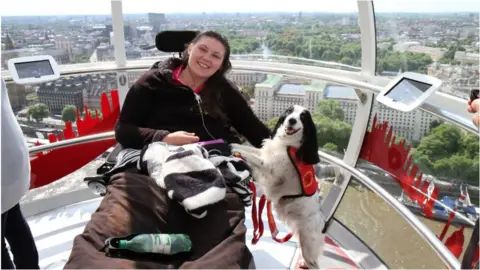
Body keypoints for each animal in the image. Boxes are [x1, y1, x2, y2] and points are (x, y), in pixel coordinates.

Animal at [231, 104, 324, 268]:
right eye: (289, 111)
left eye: (303, 117)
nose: (292, 120)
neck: (287, 144)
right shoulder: (265, 153)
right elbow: (252, 150)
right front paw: (234, 144)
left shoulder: (271, 170)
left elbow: (253, 157)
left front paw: (236, 149)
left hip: (308, 244)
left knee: (314, 264)